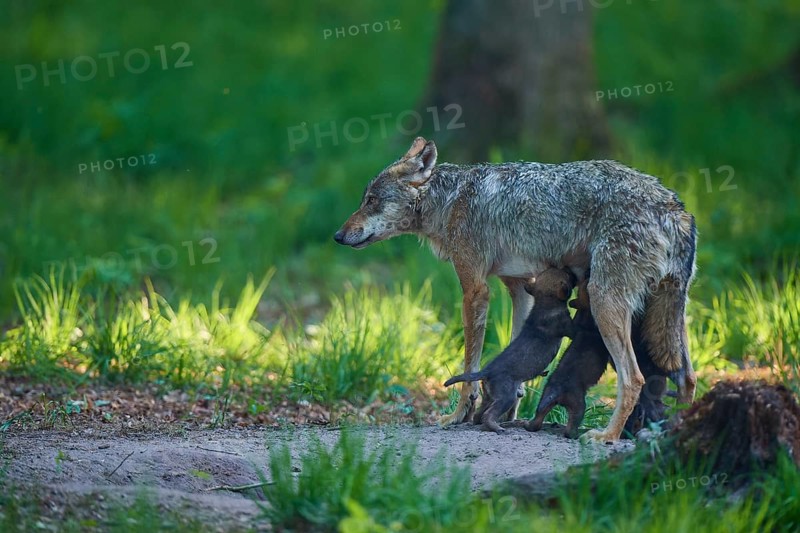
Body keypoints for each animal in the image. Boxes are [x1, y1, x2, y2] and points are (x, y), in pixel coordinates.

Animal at [443, 268, 575, 433]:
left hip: (489, 397)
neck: (544, 303)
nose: (571, 272)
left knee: (479, 415)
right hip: (506, 397)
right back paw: (497, 427)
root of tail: (486, 372)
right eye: (567, 276)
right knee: (487, 415)